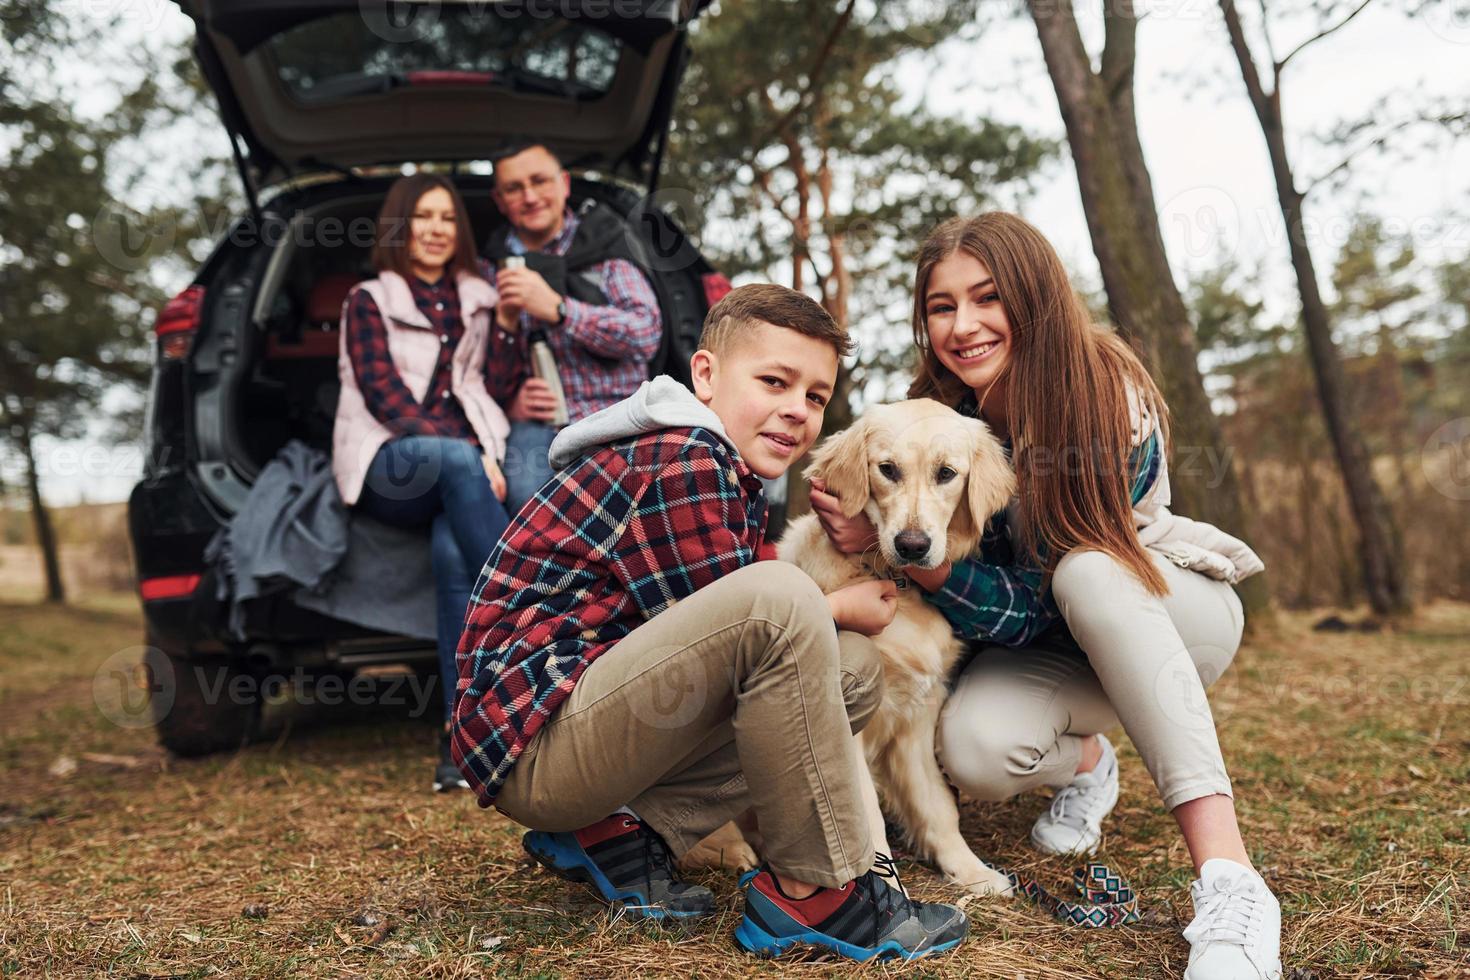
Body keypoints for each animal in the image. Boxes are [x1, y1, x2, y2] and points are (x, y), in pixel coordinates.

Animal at [682, 399, 1017, 899]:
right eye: (888, 469)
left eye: (947, 473)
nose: (912, 546)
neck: (893, 581)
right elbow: (865, 817)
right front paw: (887, 889)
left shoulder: (918, 714)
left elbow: (937, 804)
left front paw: (970, 870)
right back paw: (730, 850)